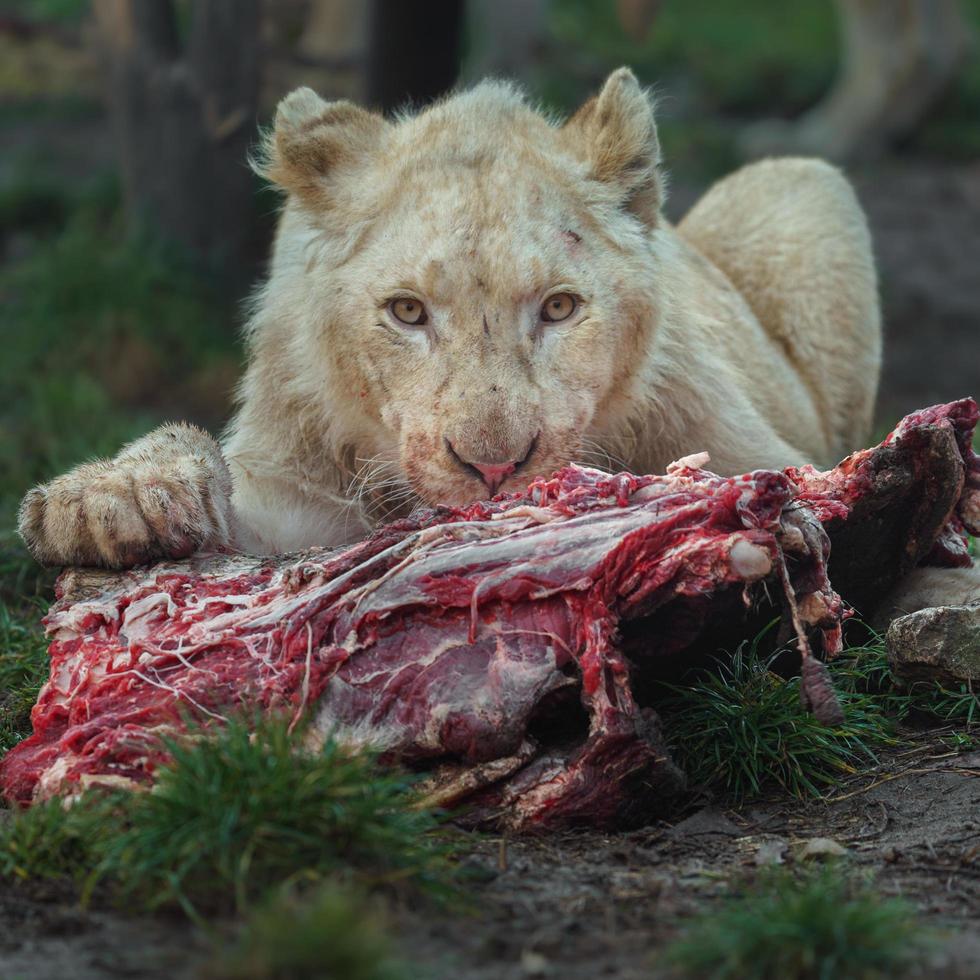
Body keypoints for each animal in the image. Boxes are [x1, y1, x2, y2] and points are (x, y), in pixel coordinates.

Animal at [21, 69, 880, 572]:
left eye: (559, 308)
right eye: (407, 312)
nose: (494, 468)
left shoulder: (760, 446)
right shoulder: (304, 497)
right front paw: (114, 495)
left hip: (803, 185)